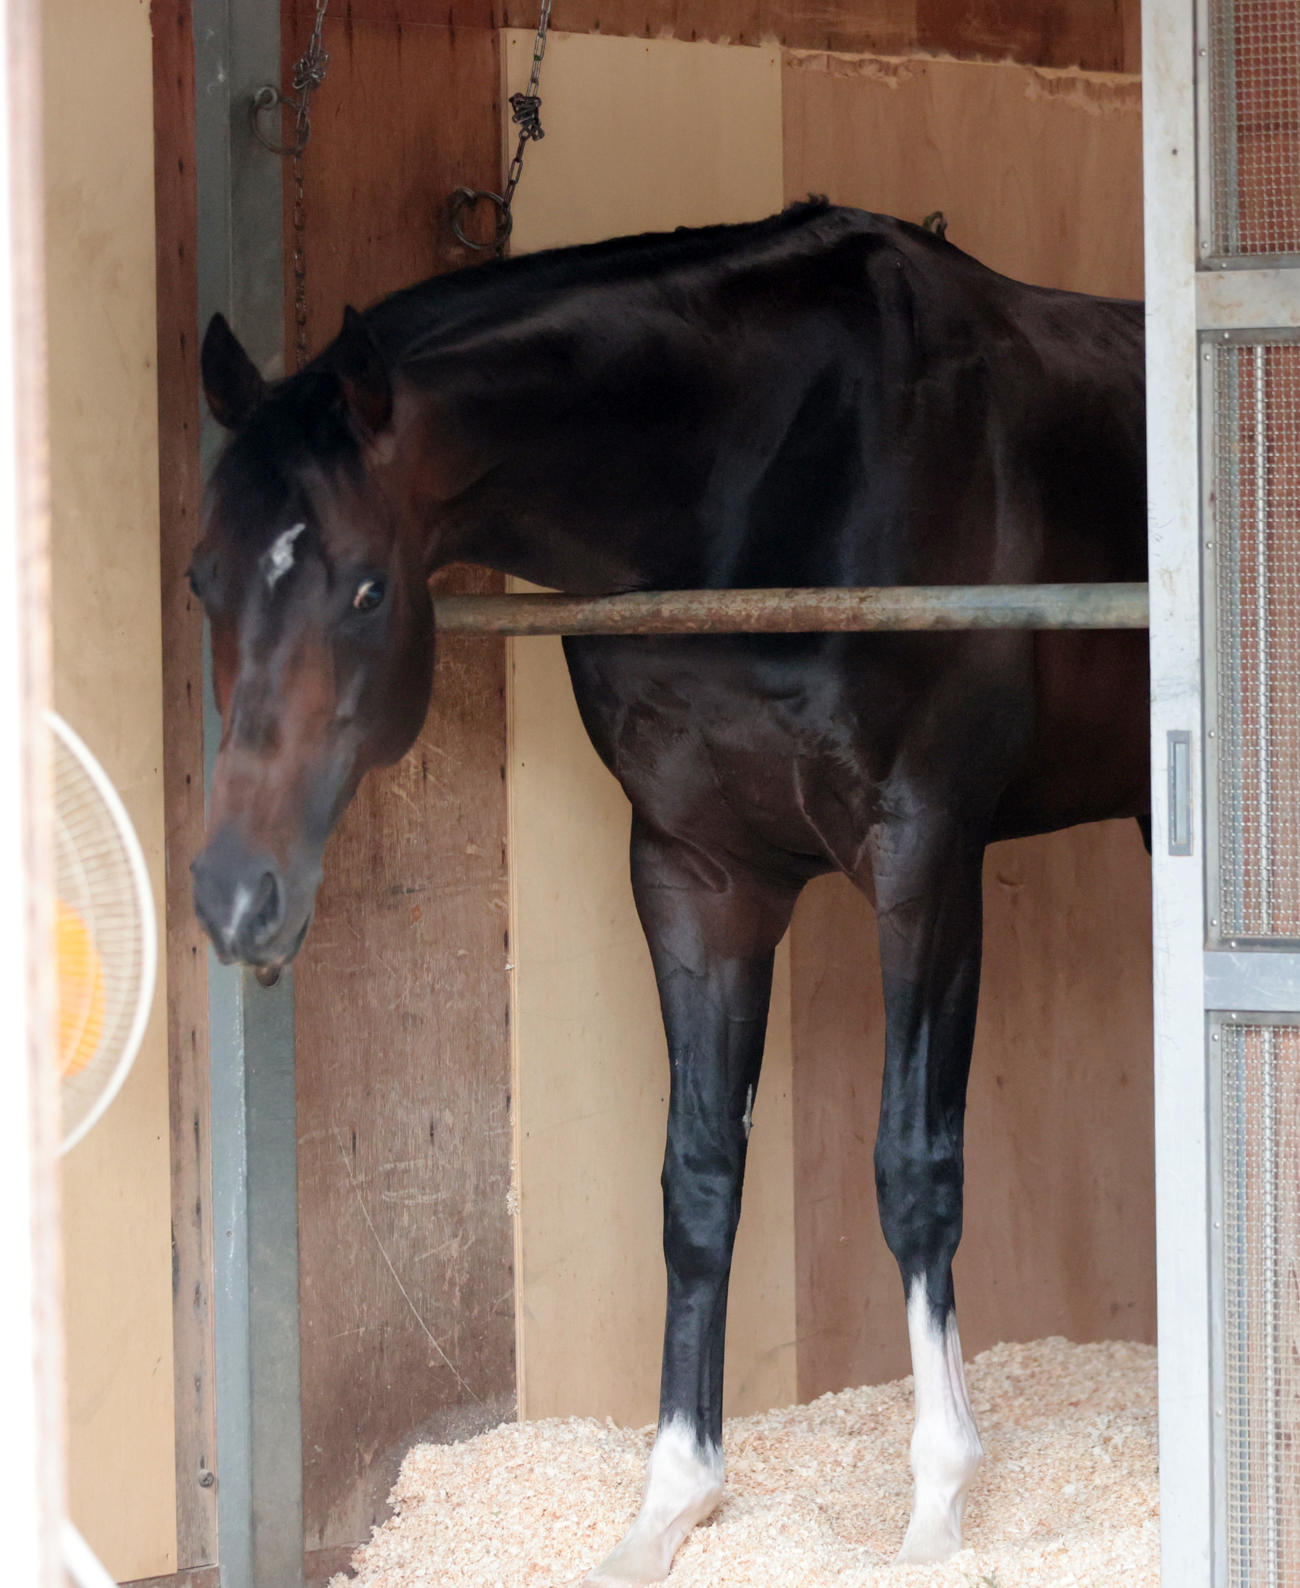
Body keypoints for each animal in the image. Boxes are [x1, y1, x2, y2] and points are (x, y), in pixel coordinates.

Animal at [189, 200, 1149, 1583]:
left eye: (366, 585)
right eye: (202, 578)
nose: (235, 895)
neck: (758, 483)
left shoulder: (924, 855)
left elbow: (914, 1170)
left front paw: (934, 1507)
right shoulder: (696, 872)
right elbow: (697, 1179)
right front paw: (669, 1503)